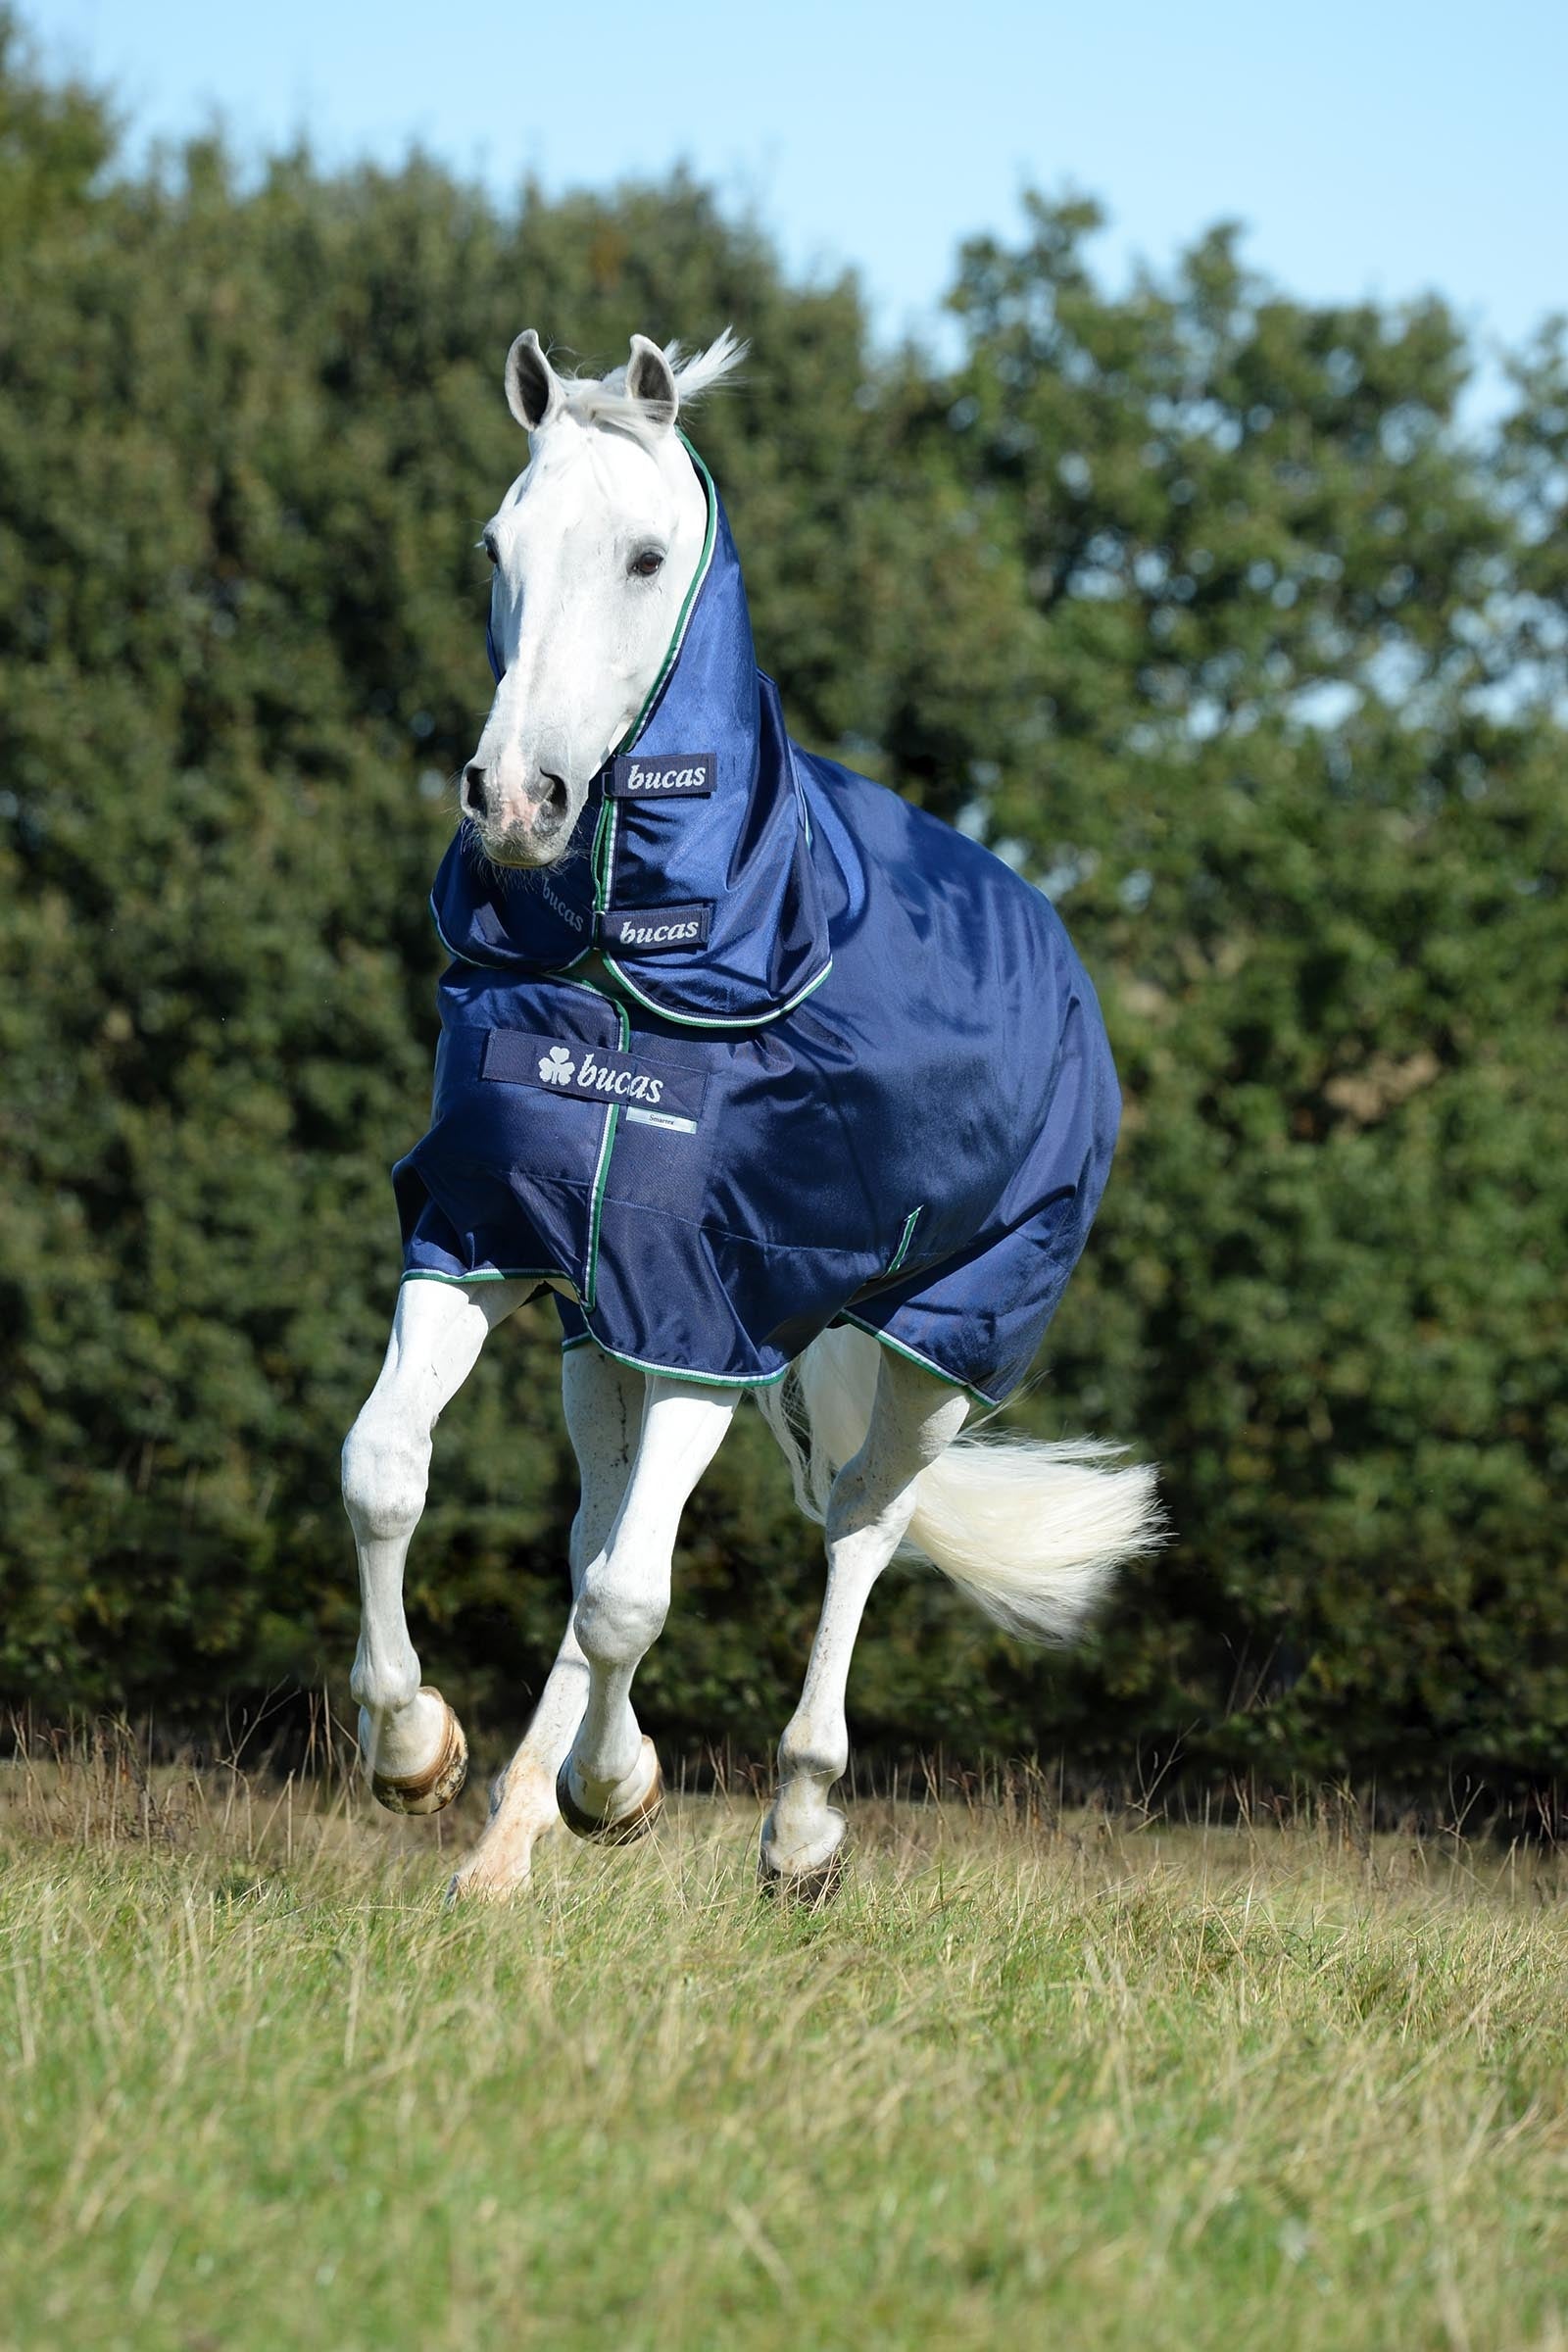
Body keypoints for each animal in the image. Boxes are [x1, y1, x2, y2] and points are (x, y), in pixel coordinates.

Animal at [340, 328, 1160, 1902]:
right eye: (496, 547)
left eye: (647, 557)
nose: (516, 800)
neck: (638, 955)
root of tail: (1053, 938)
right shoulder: (485, 1243)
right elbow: (387, 1476)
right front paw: (420, 1752)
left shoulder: (708, 1318)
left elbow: (628, 1600)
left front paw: (617, 1792)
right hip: (601, 1344)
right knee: (600, 1533)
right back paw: (513, 1839)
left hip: (938, 1344)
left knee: (858, 1530)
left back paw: (797, 1823)